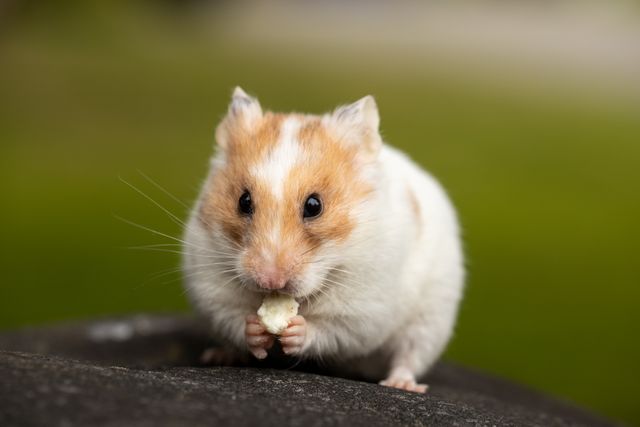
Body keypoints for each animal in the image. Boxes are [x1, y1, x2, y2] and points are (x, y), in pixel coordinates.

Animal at [183, 87, 465, 392]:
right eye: (243, 201)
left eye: (314, 206)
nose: (271, 281)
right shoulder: (212, 289)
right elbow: (234, 318)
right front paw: (256, 329)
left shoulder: (363, 310)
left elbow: (330, 331)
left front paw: (296, 330)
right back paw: (219, 355)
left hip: (430, 320)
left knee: (409, 355)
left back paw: (401, 384)